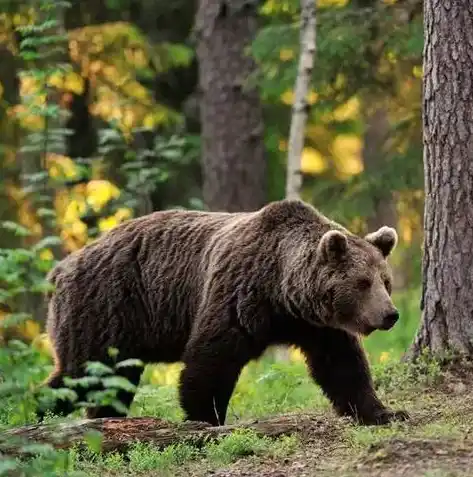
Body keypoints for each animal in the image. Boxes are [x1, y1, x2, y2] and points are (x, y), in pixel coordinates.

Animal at [37, 199, 406, 426]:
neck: (282, 291)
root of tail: (60, 268)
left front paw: (383, 412)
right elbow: (211, 359)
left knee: (110, 382)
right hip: (106, 307)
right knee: (83, 373)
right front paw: (205, 417)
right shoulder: (239, 295)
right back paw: (38, 409)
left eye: (385, 281)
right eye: (362, 282)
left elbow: (342, 366)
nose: (390, 314)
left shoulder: (316, 325)